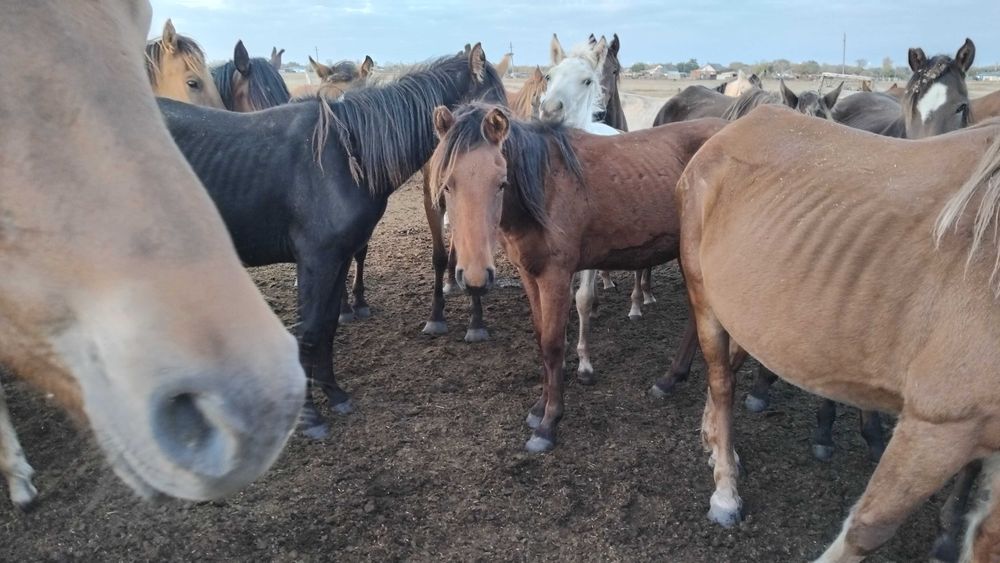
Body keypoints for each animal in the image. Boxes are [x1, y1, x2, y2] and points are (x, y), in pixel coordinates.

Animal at [158, 45, 506, 438]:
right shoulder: (317, 260)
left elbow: (327, 327)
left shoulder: (338, 259)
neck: (345, 153)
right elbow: (309, 331)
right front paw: (309, 416)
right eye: (497, 107)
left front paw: (335, 393)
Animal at [428, 102, 726, 452]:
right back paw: (669, 380)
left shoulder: (556, 276)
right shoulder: (530, 275)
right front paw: (538, 409)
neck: (546, 188)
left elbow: (554, 344)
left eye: (501, 182)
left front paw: (548, 423)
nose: (475, 277)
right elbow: (541, 338)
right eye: (448, 184)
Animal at [675, 105, 1000, 562]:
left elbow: (987, 539)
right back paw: (725, 490)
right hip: (704, 297)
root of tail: (727, 132)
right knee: (722, 383)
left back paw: (716, 444)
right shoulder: (941, 425)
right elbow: (867, 529)